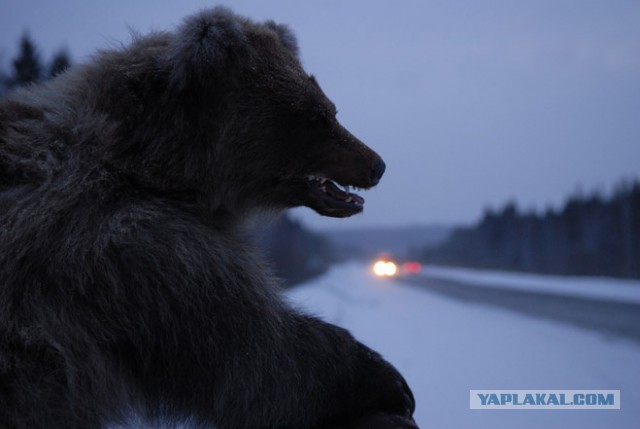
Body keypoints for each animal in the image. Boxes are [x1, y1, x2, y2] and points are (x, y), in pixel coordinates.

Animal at [0, 5, 418, 428]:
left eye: (331, 110)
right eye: (319, 116)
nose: (377, 165)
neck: (162, 171)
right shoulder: (134, 251)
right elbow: (254, 350)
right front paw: (386, 381)